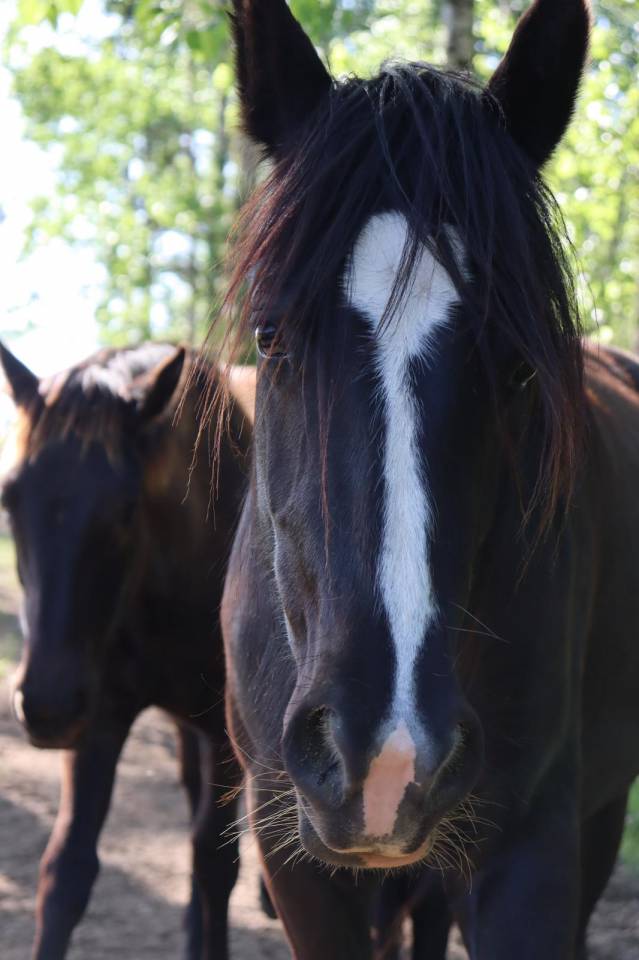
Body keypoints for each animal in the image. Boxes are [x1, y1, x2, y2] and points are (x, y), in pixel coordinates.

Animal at [0, 342, 253, 960]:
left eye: (123, 508)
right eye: (10, 499)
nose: (46, 705)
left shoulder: (224, 735)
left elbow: (218, 865)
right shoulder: (98, 720)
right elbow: (66, 871)